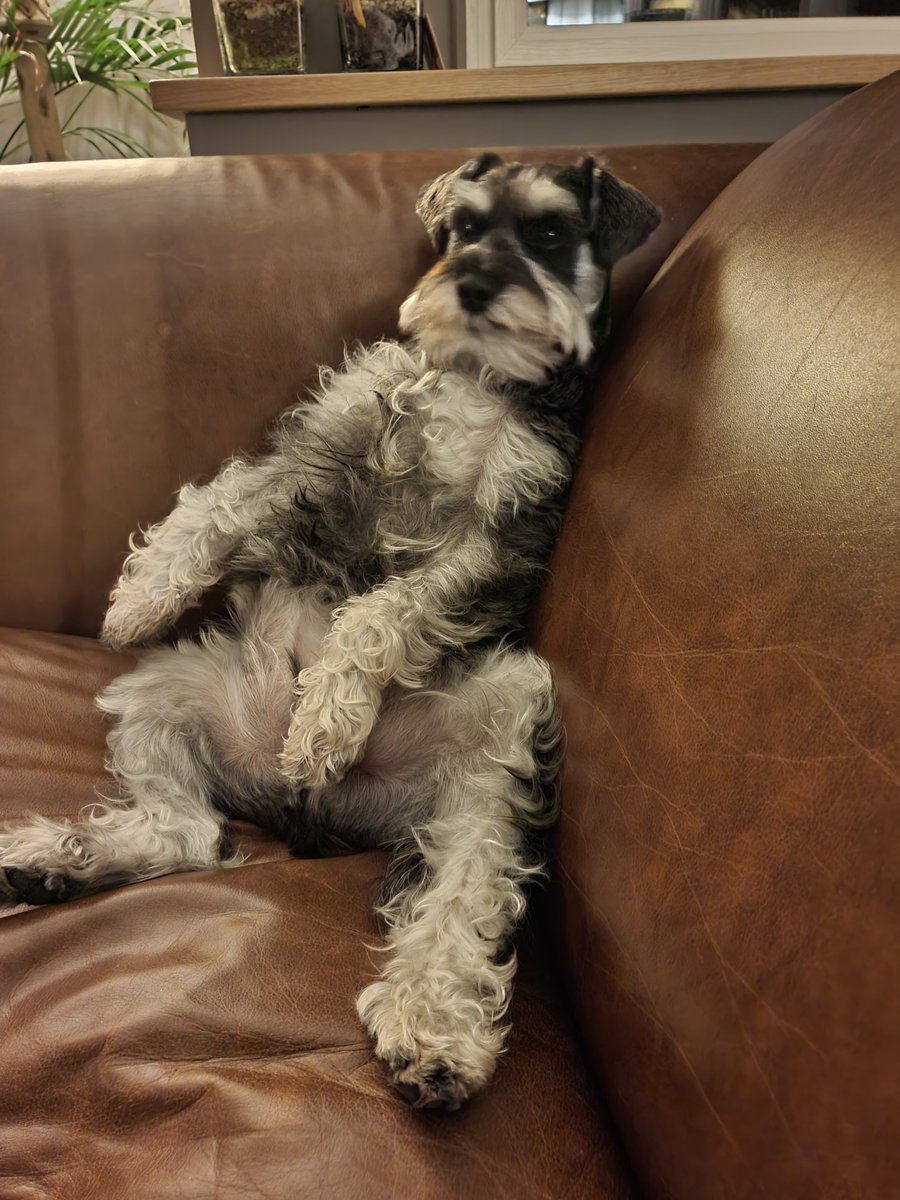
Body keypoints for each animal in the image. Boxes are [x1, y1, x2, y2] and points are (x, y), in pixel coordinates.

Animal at [1, 154, 662, 1108]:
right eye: (463, 226)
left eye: (548, 232)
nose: (470, 287)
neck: (471, 378)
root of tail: (306, 813)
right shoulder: (321, 449)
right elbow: (220, 503)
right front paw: (141, 599)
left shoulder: (495, 536)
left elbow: (389, 610)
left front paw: (325, 721)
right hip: (163, 694)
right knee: (189, 829)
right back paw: (55, 858)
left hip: (500, 749)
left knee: (460, 899)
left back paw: (432, 1036)